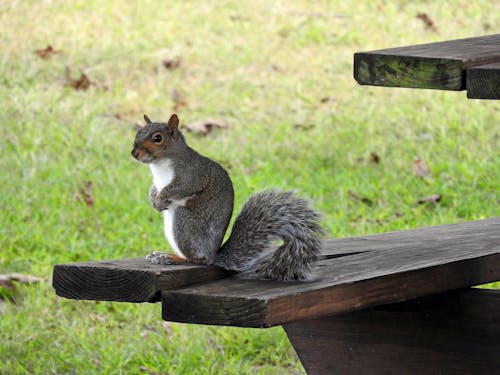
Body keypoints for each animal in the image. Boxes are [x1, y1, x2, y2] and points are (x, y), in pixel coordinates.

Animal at [131, 114, 322, 282]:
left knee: (197, 260)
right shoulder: (158, 181)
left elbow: (179, 188)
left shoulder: (192, 175)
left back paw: (171, 258)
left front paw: (160, 198)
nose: (134, 153)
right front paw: (153, 198)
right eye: (138, 133)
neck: (159, 165)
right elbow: (153, 189)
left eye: (157, 138)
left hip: (184, 222)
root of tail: (213, 254)